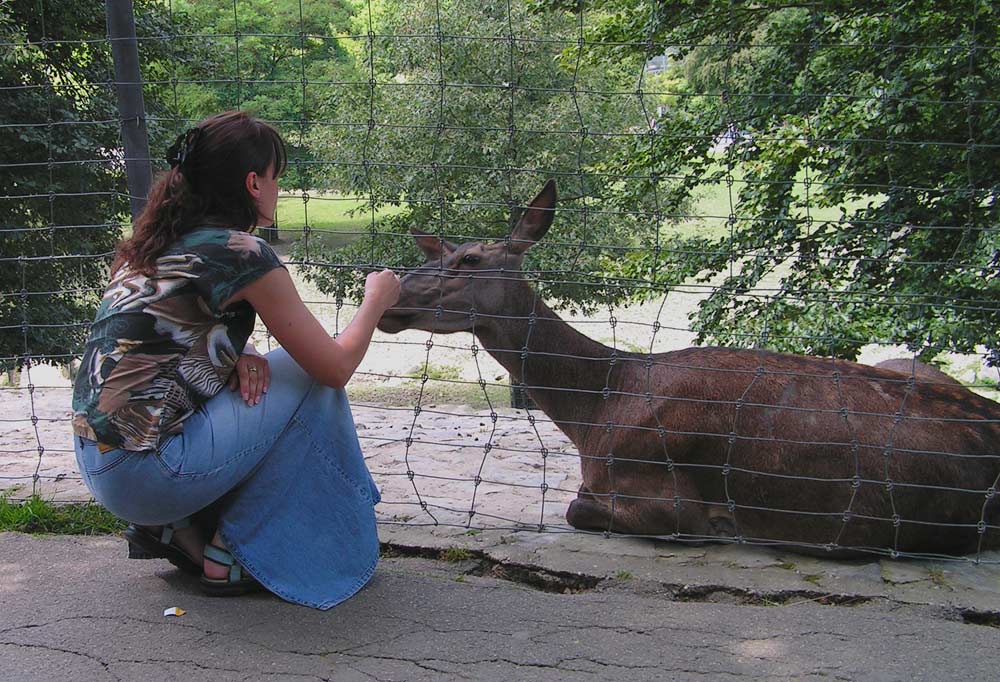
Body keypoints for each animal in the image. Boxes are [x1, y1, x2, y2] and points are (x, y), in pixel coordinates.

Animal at [376, 182, 1000, 556]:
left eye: (469, 259)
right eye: (439, 254)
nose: (391, 296)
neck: (595, 411)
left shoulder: (661, 492)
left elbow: (578, 507)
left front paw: (725, 528)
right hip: (912, 361)